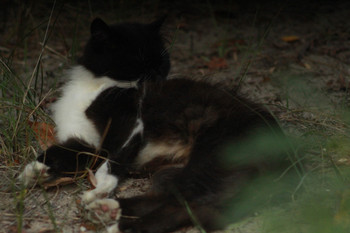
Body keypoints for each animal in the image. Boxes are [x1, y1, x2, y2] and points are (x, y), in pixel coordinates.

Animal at [19, 16, 298, 233]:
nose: (155, 78)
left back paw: (118, 223)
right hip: (178, 173)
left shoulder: (130, 123)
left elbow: (112, 159)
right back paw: (108, 210)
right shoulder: (86, 141)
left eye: (162, 63)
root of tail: (286, 151)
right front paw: (34, 171)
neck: (97, 84)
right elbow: (62, 152)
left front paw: (102, 186)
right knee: (185, 201)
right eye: (137, 61)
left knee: (190, 204)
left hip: (213, 157)